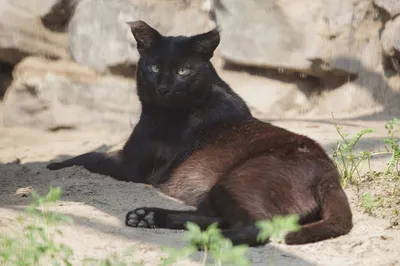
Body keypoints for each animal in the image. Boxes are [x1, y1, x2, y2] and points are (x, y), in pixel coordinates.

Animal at [47, 20, 354, 245]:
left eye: (183, 70)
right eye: (154, 67)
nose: (163, 87)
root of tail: (328, 173)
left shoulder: (132, 165)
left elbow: (89, 157)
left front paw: (53, 165)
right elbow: (92, 154)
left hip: (236, 183)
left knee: (254, 227)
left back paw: (202, 240)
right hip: (216, 192)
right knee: (215, 219)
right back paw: (147, 217)